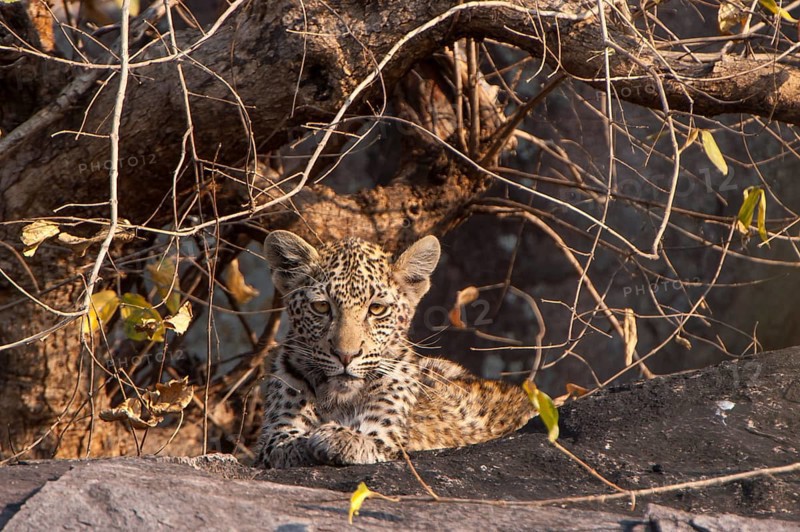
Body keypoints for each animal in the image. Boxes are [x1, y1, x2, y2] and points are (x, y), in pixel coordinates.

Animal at [254, 230, 536, 469]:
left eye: (376, 309)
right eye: (321, 307)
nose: (346, 355)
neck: (337, 400)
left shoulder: (387, 432)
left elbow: (367, 436)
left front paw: (336, 437)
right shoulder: (274, 432)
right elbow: (285, 441)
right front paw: (308, 442)